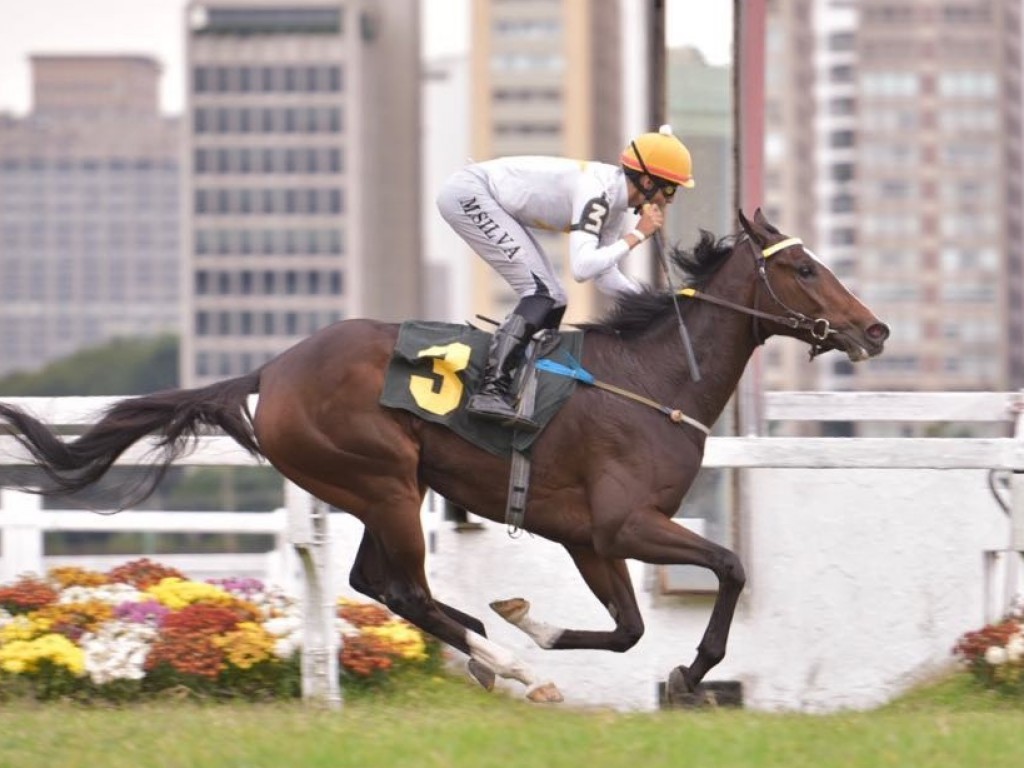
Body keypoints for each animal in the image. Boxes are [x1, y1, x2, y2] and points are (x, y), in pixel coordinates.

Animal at [0, 208, 888, 704]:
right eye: (804, 268)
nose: (874, 329)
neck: (652, 377)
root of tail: (272, 371)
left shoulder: (588, 537)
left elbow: (630, 629)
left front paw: (534, 622)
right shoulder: (624, 525)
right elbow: (729, 568)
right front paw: (688, 671)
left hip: (373, 489)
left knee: (378, 585)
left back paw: (489, 650)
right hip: (384, 481)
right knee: (406, 591)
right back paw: (505, 665)